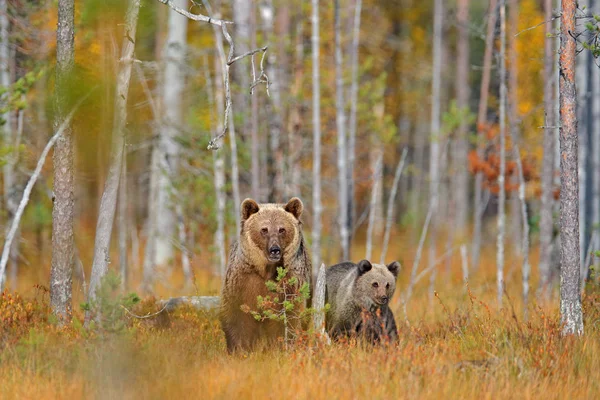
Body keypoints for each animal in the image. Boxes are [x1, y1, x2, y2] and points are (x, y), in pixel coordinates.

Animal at [221, 198, 314, 352]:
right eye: (264, 229)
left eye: (282, 229)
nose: (274, 250)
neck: (266, 270)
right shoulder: (243, 281)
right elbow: (238, 317)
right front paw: (239, 348)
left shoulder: (291, 282)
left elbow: (290, 316)